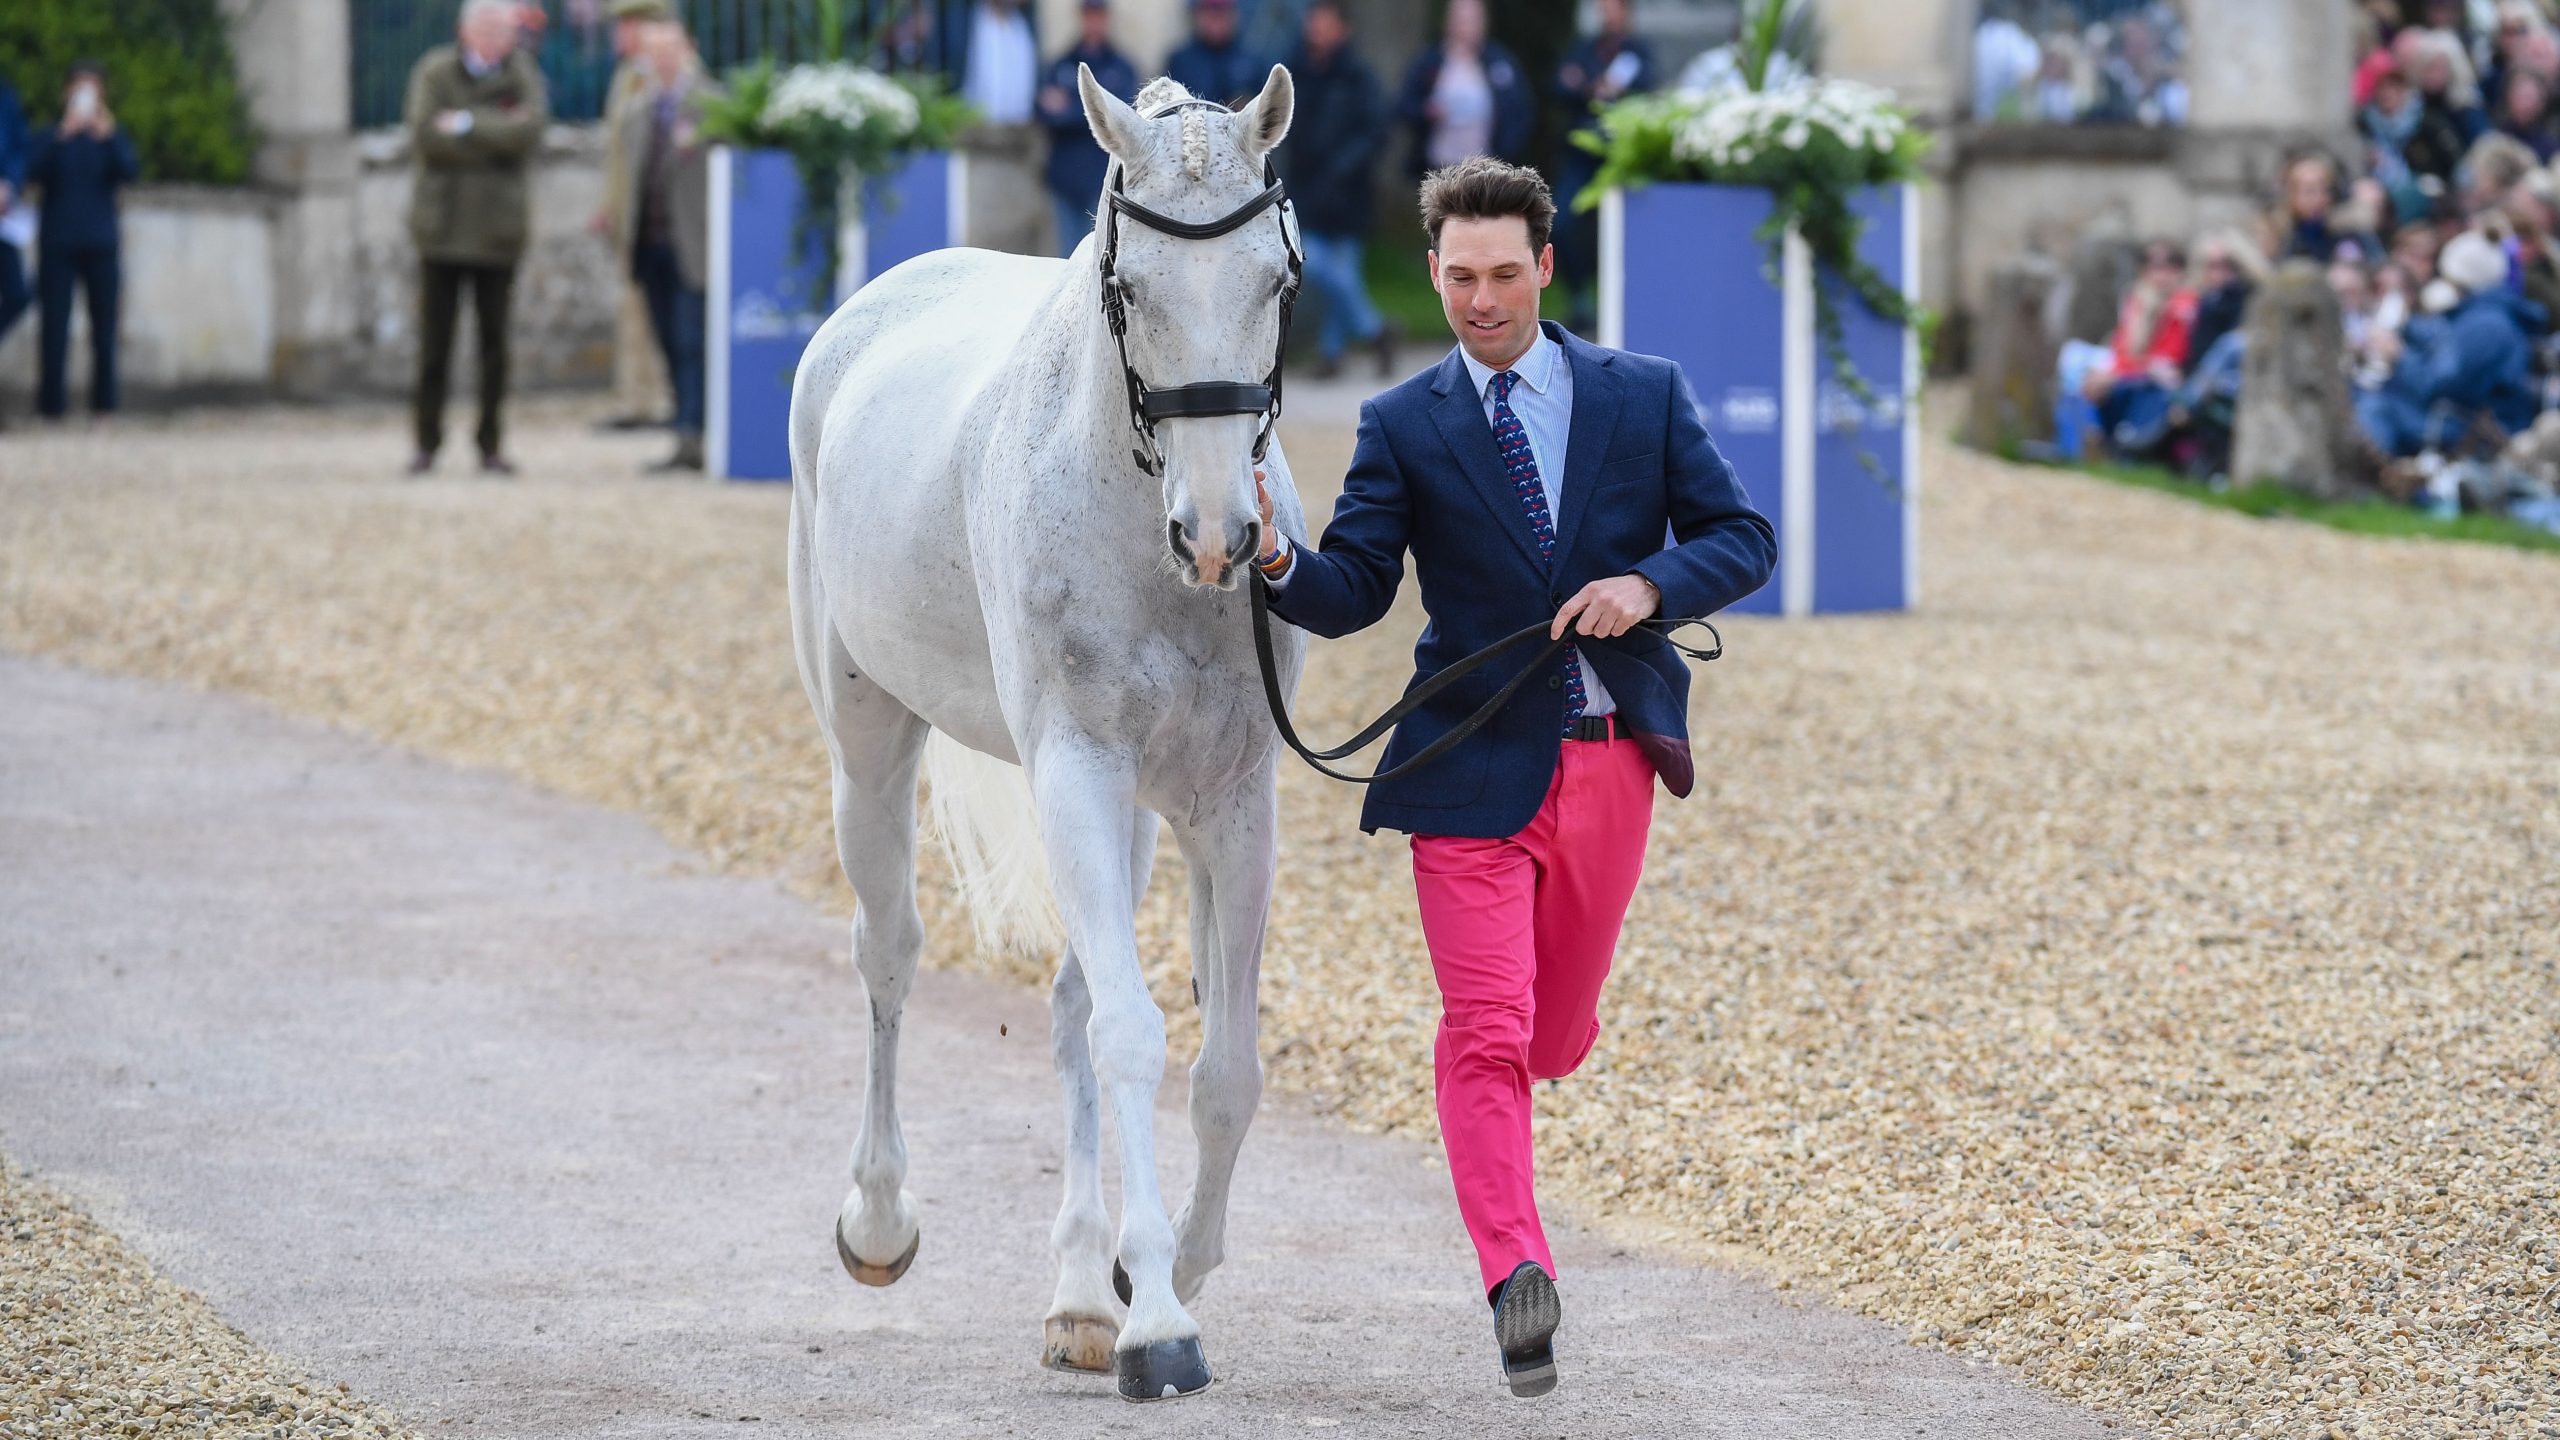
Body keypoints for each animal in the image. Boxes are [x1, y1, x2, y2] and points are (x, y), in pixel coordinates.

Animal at [785, 67, 1307, 1401]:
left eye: (1276, 282)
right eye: (1132, 291)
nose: (1222, 534)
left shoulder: (1229, 800)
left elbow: (1224, 1068)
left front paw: (1158, 1274)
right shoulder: (1075, 770)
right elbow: (1131, 1033)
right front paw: (1158, 1324)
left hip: (1127, 812)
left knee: (1071, 998)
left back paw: (1077, 1292)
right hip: (870, 744)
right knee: (889, 953)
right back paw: (879, 1222)